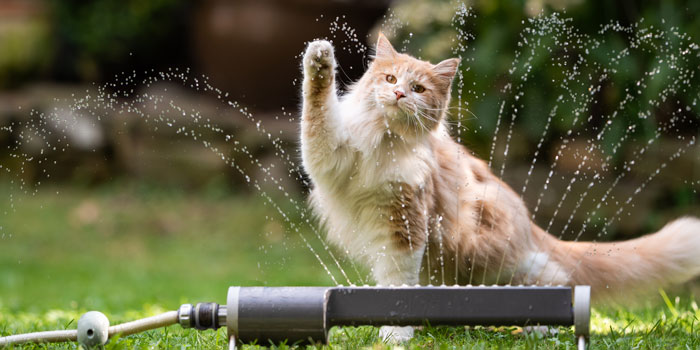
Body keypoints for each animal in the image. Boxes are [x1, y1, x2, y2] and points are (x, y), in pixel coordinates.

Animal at [300, 32, 700, 340]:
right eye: (389, 80)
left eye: (417, 88)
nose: (399, 96)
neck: (385, 141)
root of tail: (529, 223)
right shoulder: (329, 155)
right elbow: (316, 111)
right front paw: (319, 62)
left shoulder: (406, 222)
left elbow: (397, 284)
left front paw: (396, 334)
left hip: (489, 256)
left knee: (554, 276)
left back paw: (543, 327)